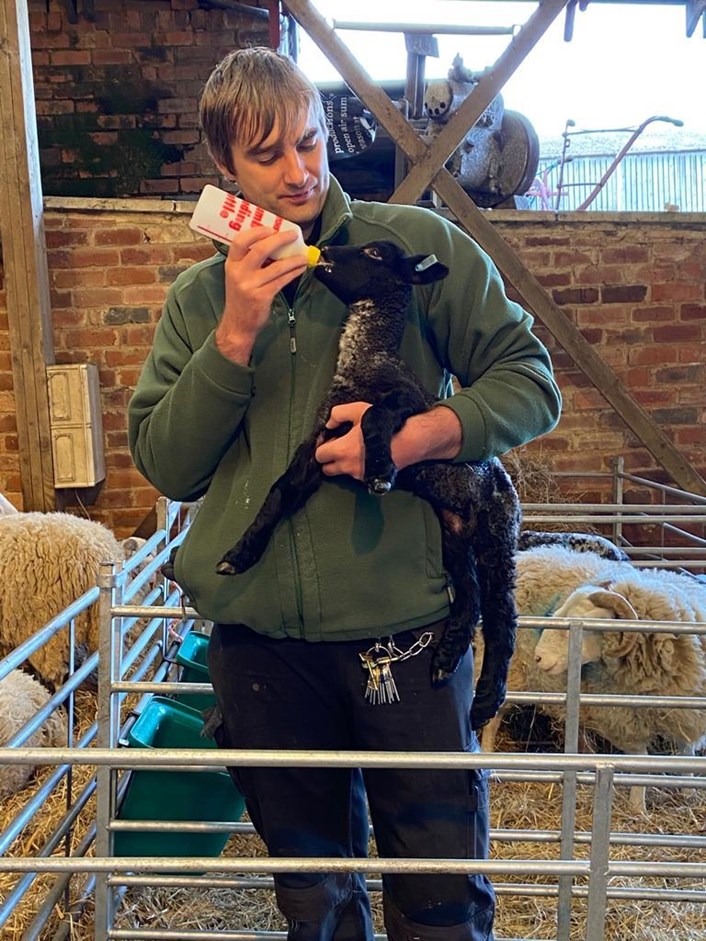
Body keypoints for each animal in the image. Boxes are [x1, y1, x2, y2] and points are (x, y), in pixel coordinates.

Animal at [217, 239, 520, 724]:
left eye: (376, 253)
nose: (323, 249)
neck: (363, 358)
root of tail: (502, 479)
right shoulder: (319, 444)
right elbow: (279, 491)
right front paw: (239, 555)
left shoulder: (406, 403)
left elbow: (376, 416)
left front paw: (379, 471)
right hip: (453, 534)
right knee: (469, 597)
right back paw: (445, 660)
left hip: (497, 532)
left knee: (500, 614)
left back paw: (486, 701)